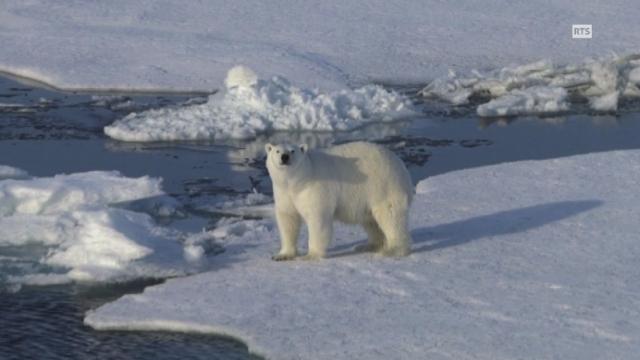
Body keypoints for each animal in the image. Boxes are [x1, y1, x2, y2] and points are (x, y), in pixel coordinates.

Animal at [264, 140, 416, 258]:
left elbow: (317, 218)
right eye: (277, 151)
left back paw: (392, 250)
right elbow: (288, 218)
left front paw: (310, 255)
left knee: (390, 216)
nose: (284, 157)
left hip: (383, 185)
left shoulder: (315, 188)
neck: (298, 181)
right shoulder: (283, 192)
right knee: (370, 221)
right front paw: (282, 255)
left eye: (293, 150)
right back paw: (367, 245)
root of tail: (401, 166)